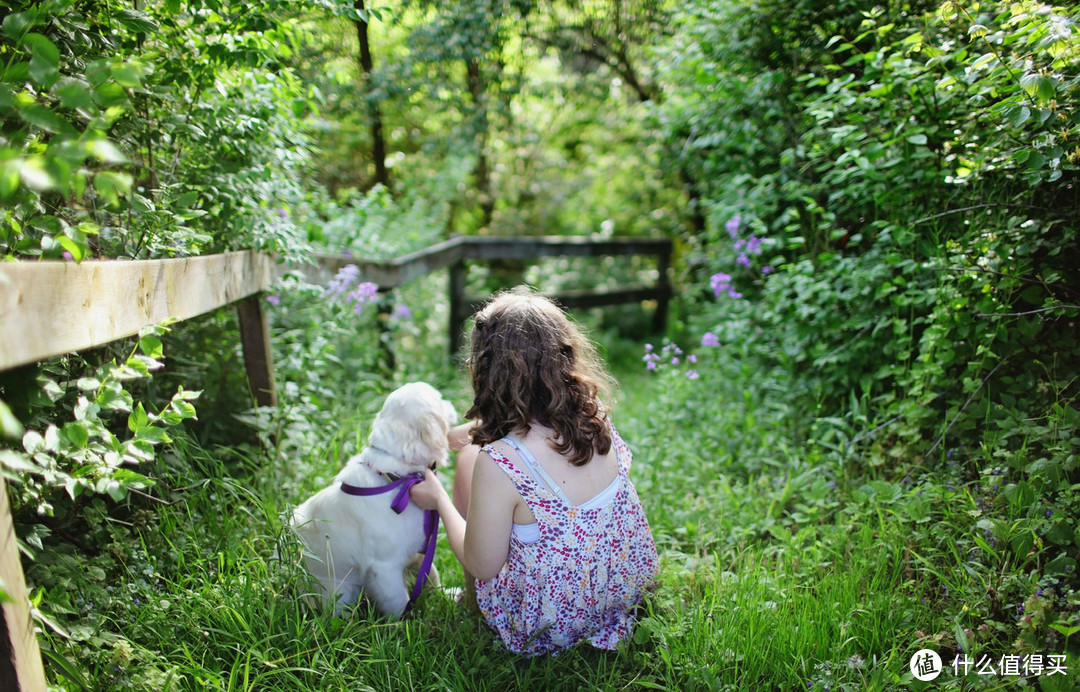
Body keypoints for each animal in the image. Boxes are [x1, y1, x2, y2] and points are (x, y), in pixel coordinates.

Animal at [291, 384, 455, 613]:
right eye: (439, 400)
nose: (451, 403)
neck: (396, 478)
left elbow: (431, 573)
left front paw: (447, 595)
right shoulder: (385, 568)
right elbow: (399, 601)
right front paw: (406, 620)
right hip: (340, 593)